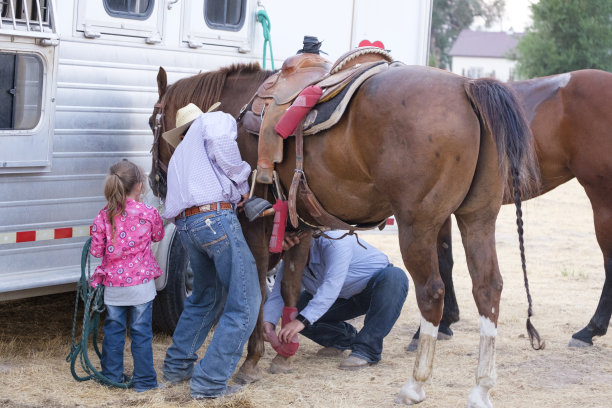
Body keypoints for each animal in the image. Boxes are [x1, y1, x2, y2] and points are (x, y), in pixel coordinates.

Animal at [149, 62, 540, 406]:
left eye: (153, 121)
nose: (157, 181)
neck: (238, 109)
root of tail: (467, 86)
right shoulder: (302, 225)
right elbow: (289, 285)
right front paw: (284, 355)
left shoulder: (253, 223)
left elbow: (258, 285)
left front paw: (252, 361)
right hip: (477, 219)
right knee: (488, 288)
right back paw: (481, 389)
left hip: (419, 225)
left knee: (432, 293)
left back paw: (415, 385)